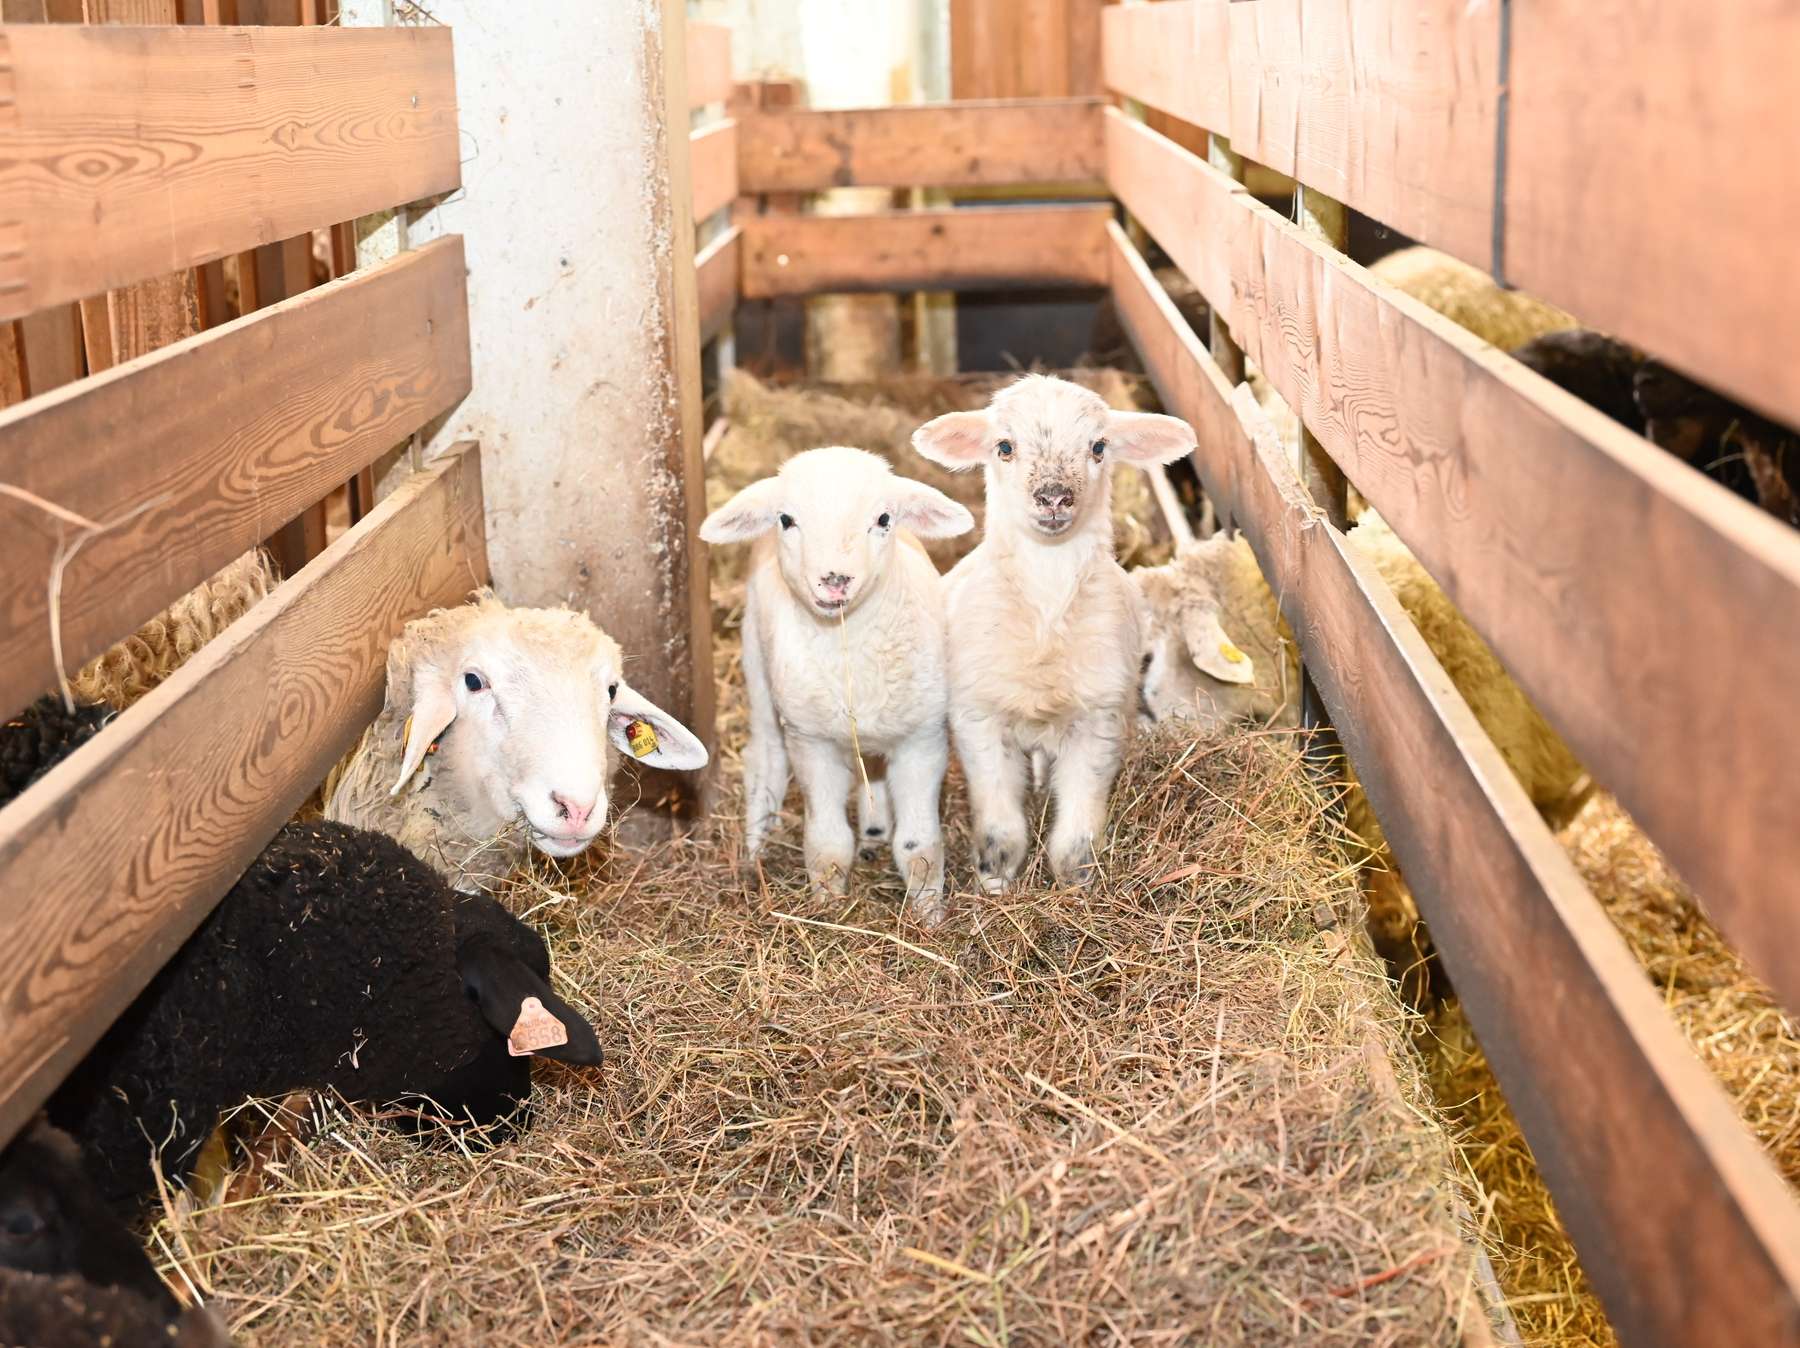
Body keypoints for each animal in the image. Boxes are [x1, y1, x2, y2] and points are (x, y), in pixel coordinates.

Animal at [702, 446, 979, 921]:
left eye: (884, 518)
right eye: (786, 519)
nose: (835, 580)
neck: (849, 647)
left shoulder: (922, 740)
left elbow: (919, 846)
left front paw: (929, 917)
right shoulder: (810, 743)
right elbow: (828, 844)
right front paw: (828, 908)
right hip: (758, 671)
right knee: (764, 759)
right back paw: (755, 848)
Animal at [914, 372, 1195, 889]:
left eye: (1099, 446)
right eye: (1004, 446)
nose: (1053, 496)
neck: (1046, 609)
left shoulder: (1100, 721)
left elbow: (1077, 833)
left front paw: (1078, 886)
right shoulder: (979, 719)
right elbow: (1000, 827)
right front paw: (995, 883)